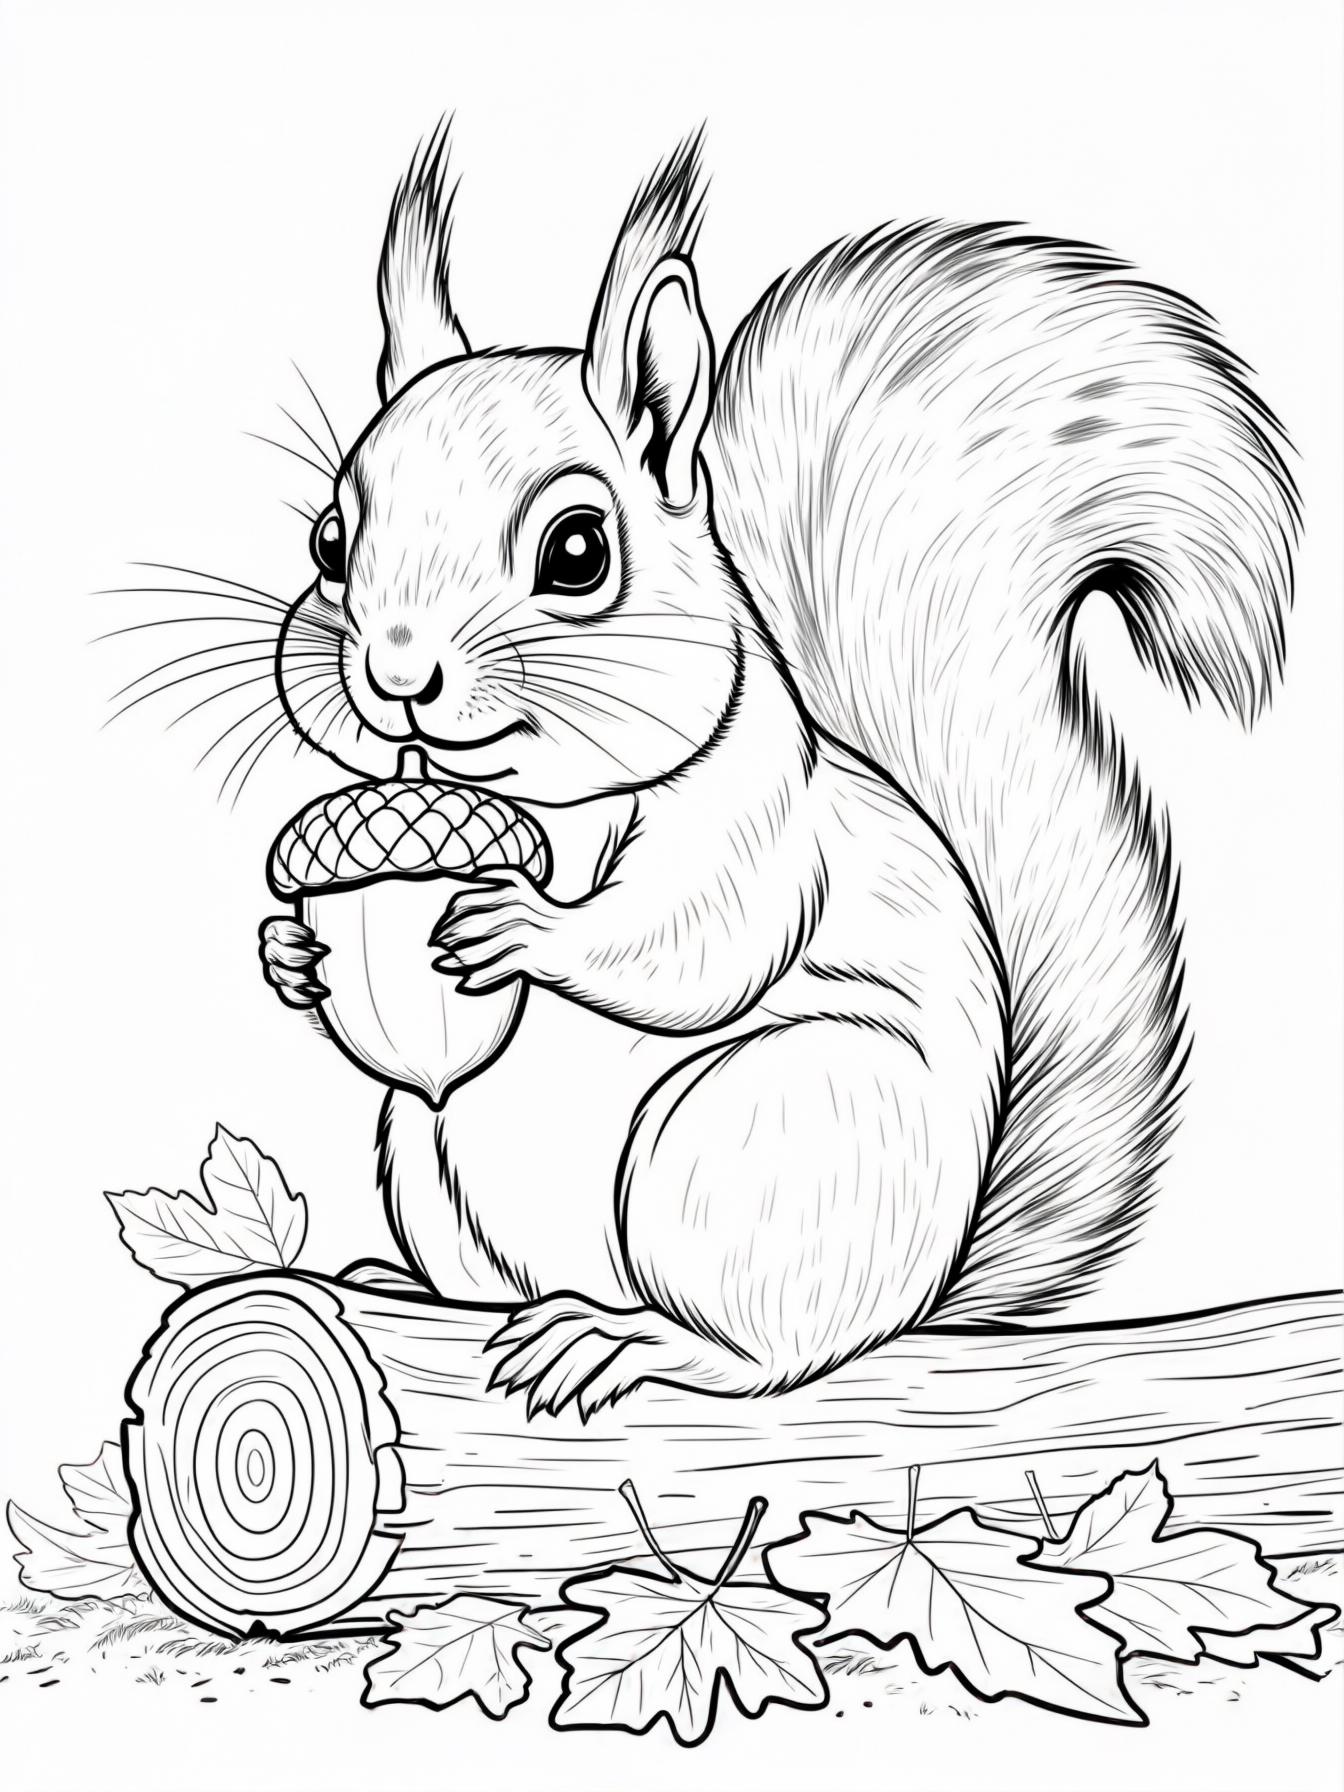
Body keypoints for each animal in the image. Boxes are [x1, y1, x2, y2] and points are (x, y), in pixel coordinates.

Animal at [260, 125, 1297, 1418]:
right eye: (328, 540)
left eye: (577, 551)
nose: (397, 670)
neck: (545, 804)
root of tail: (925, 1290)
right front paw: (292, 955)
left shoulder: (758, 822)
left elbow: (693, 944)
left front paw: (523, 927)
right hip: (425, 1152)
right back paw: (408, 1284)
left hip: (756, 1135)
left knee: (762, 1353)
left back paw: (625, 1339)